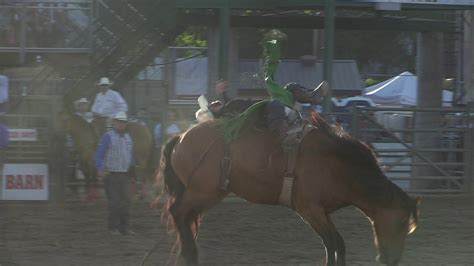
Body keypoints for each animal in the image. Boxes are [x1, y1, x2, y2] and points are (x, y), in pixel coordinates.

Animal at [158, 112, 418, 266]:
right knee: (178, 213)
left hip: (207, 193)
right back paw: (190, 255)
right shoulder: (310, 210)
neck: (337, 165)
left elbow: (336, 245)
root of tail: (181, 136)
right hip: (201, 191)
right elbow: (333, 243)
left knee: (186, 218)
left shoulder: (321, 212)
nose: (392, 260)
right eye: (402, 222)